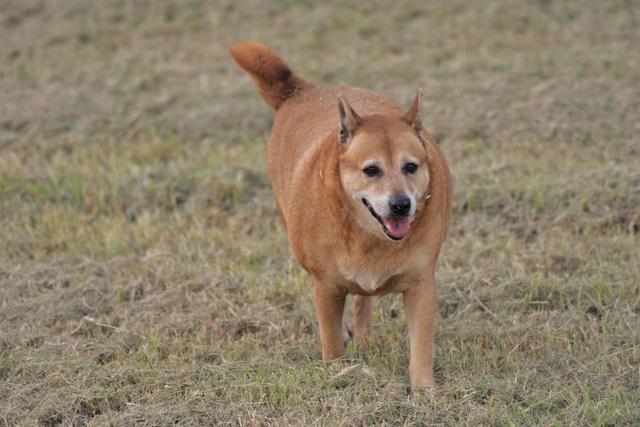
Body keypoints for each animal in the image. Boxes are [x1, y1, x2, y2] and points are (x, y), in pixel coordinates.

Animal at [229, 44, 450, 392]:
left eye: (411, 167)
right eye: (371, 170)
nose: (401, 205)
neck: (368, 236)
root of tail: (302, 90)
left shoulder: (421, 285)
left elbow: (421, 345)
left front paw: (423, 390)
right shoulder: (326, 286)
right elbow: (330, 339)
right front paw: (336, 374)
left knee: (362, 299)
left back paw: (364, 334)